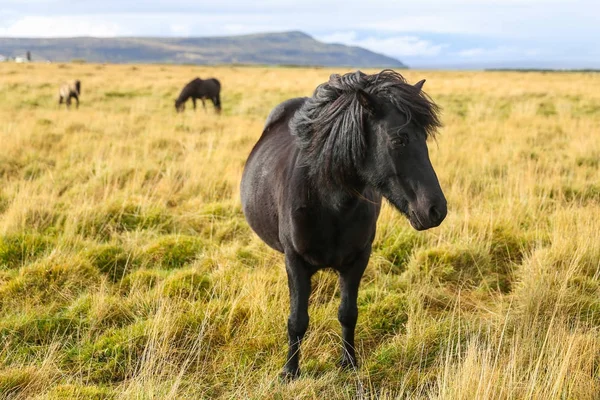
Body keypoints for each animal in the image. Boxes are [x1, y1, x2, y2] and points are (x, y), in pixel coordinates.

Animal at [241, 70, 448, 380]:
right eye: (398, 140)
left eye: (424, 137)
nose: (436, 210)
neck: (330, 203)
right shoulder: (295, 261)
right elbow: (297, 320)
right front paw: (290, 371)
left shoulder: (357, 260)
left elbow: (348, 313)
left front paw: (349, 362)